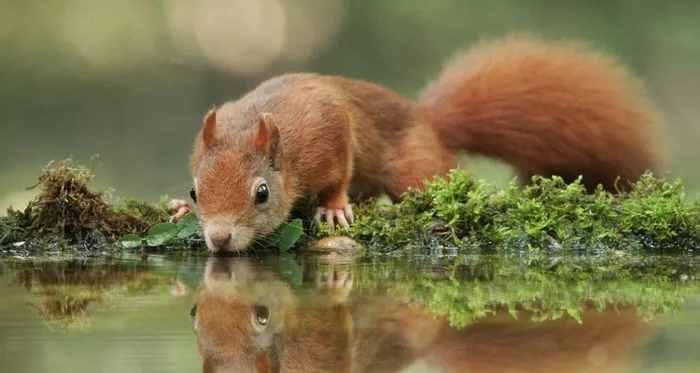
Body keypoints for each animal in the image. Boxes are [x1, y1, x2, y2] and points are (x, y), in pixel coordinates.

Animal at [176, 35, 660, 253]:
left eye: (261, 193)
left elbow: (339, 172)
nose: (219, 238)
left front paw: (332, 208)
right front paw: (178, 208)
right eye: (196, 191)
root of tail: (426, 118)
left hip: (418, 167)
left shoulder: (329, 132)